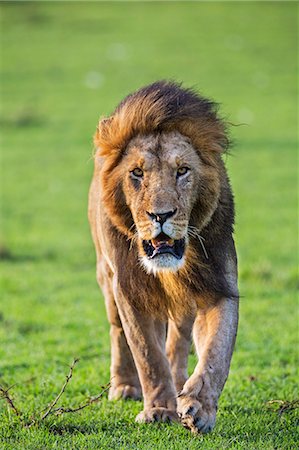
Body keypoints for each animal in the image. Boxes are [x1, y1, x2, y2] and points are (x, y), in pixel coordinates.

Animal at [88, 81, 239, 432]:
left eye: (182, 171)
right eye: (137, 173)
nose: (161, 215)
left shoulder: (218, 285)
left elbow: (216, 352)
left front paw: (199, 408)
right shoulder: (130, 290)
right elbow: (147, 354)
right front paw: (158, 409)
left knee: (178, 341)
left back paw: (180, 383)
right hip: (106, 277)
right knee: (118, 332)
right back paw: (125, 386)